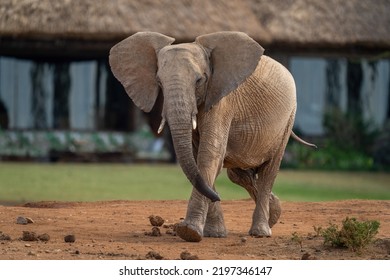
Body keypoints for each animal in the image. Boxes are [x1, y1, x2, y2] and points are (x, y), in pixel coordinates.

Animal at [108, 30, 316, 241]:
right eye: (159, 82)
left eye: (199, 80)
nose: (220, 197)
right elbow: (200, 159)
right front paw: (214, 234)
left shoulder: (221, 101)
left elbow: (209, 156)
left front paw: (189, 232)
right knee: (237, 174)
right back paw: (274, 214)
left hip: (288, 118)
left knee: (269, 171)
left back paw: (261, 232)